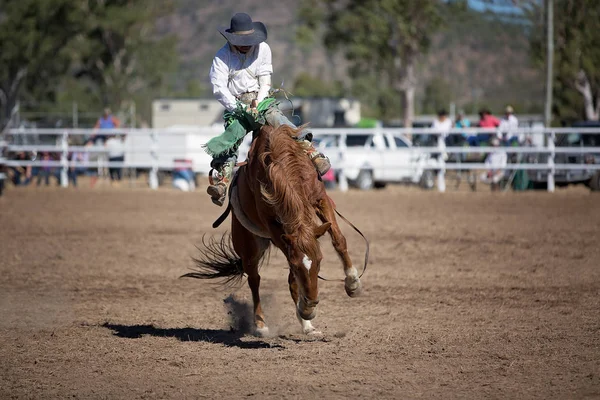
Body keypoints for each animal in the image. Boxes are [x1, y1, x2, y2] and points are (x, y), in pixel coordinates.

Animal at [185, 124, 360, 334]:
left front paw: (352, 283)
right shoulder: (273, 226)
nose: (311, 304)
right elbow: (290, 272)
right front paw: (305, 308)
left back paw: (307, 325)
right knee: (255, 279)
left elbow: (339, 239)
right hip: (248, 245)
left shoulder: (320, 199)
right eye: (298, 265)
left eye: (320, 262)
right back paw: (262, 324)